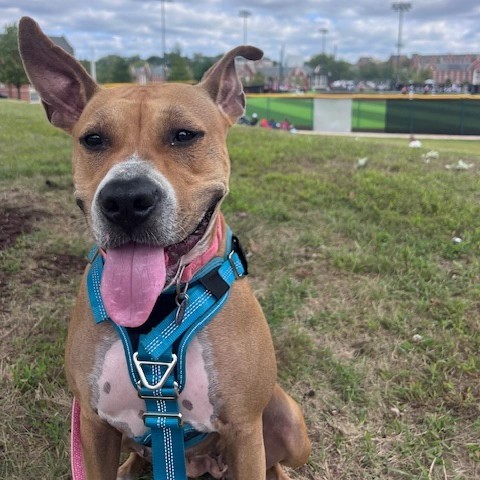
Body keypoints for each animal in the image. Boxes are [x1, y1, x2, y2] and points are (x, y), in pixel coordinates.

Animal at [17, 15, 312, 480]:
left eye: (184, 135)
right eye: (93, 139)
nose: (125, 200)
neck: (160, 309)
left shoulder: (245, 430)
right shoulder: (93, 424)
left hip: (286, 420)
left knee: (277, 462)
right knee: (139, 454)